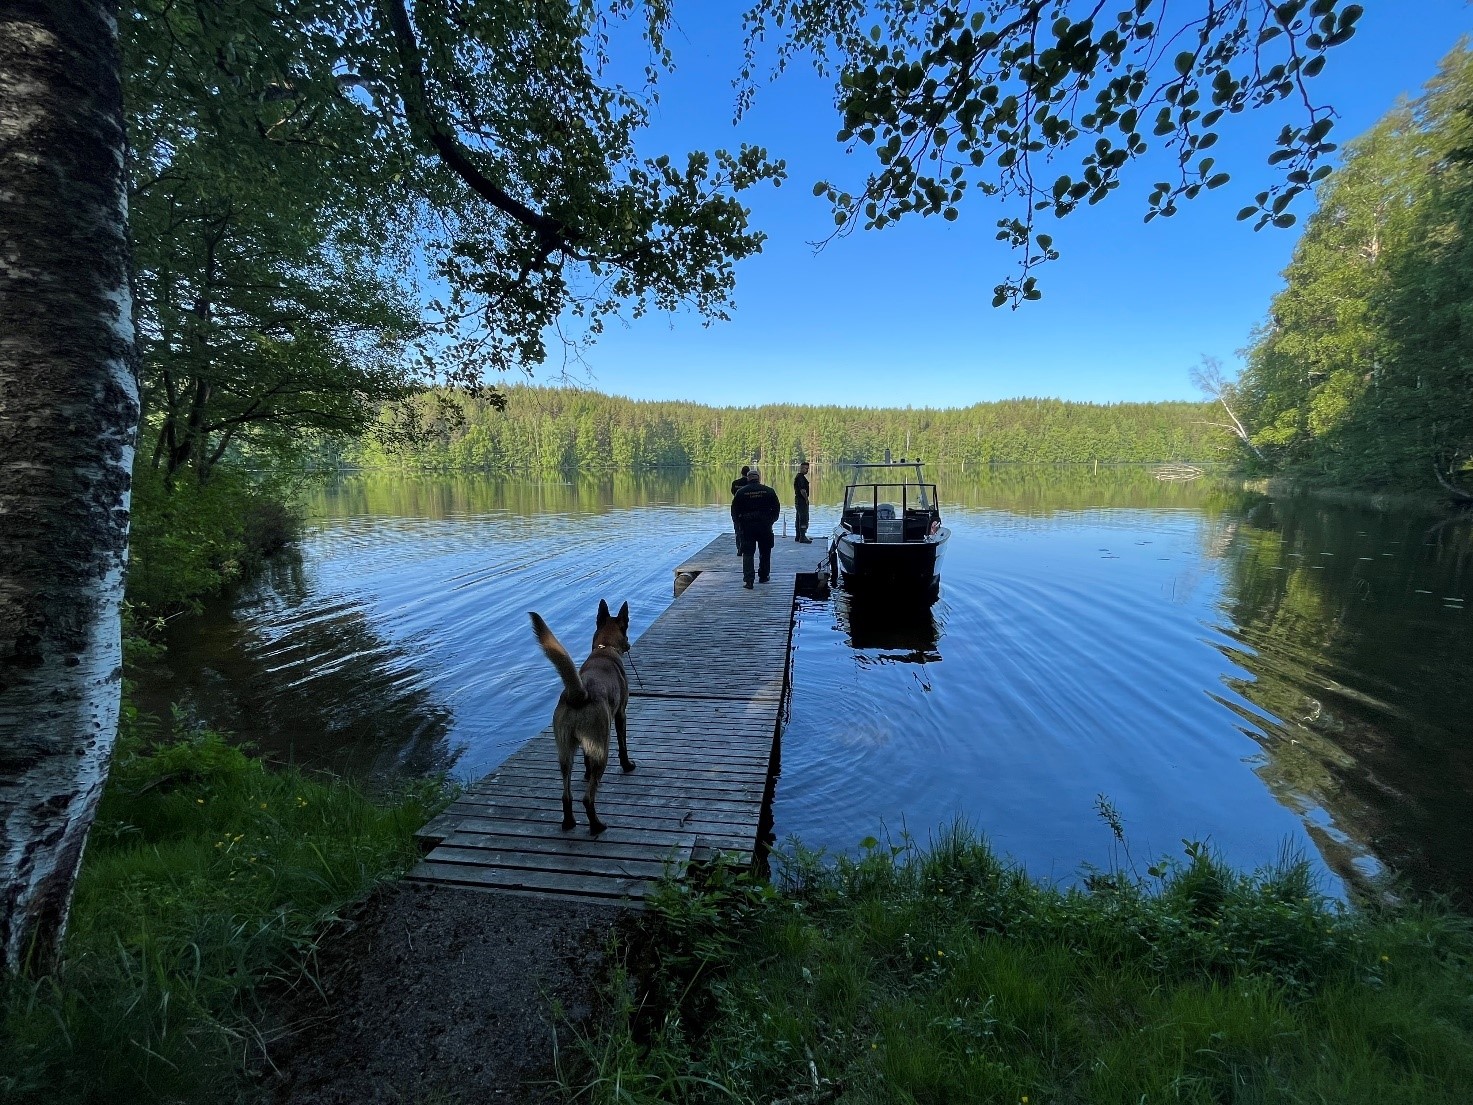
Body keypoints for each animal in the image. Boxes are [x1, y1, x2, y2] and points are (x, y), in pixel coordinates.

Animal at [530, 601, 633, 836]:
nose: (629, 645)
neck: (605, 649)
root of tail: (579, 694)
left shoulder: (586, 745)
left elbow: (585, 762)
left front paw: (585, 775)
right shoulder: (620, 715)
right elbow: (623, 746)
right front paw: (627, 765)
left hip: (565, 753)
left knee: (566, 795)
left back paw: (569, 822)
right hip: (601, 751)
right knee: (587, 798)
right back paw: (596, 826)